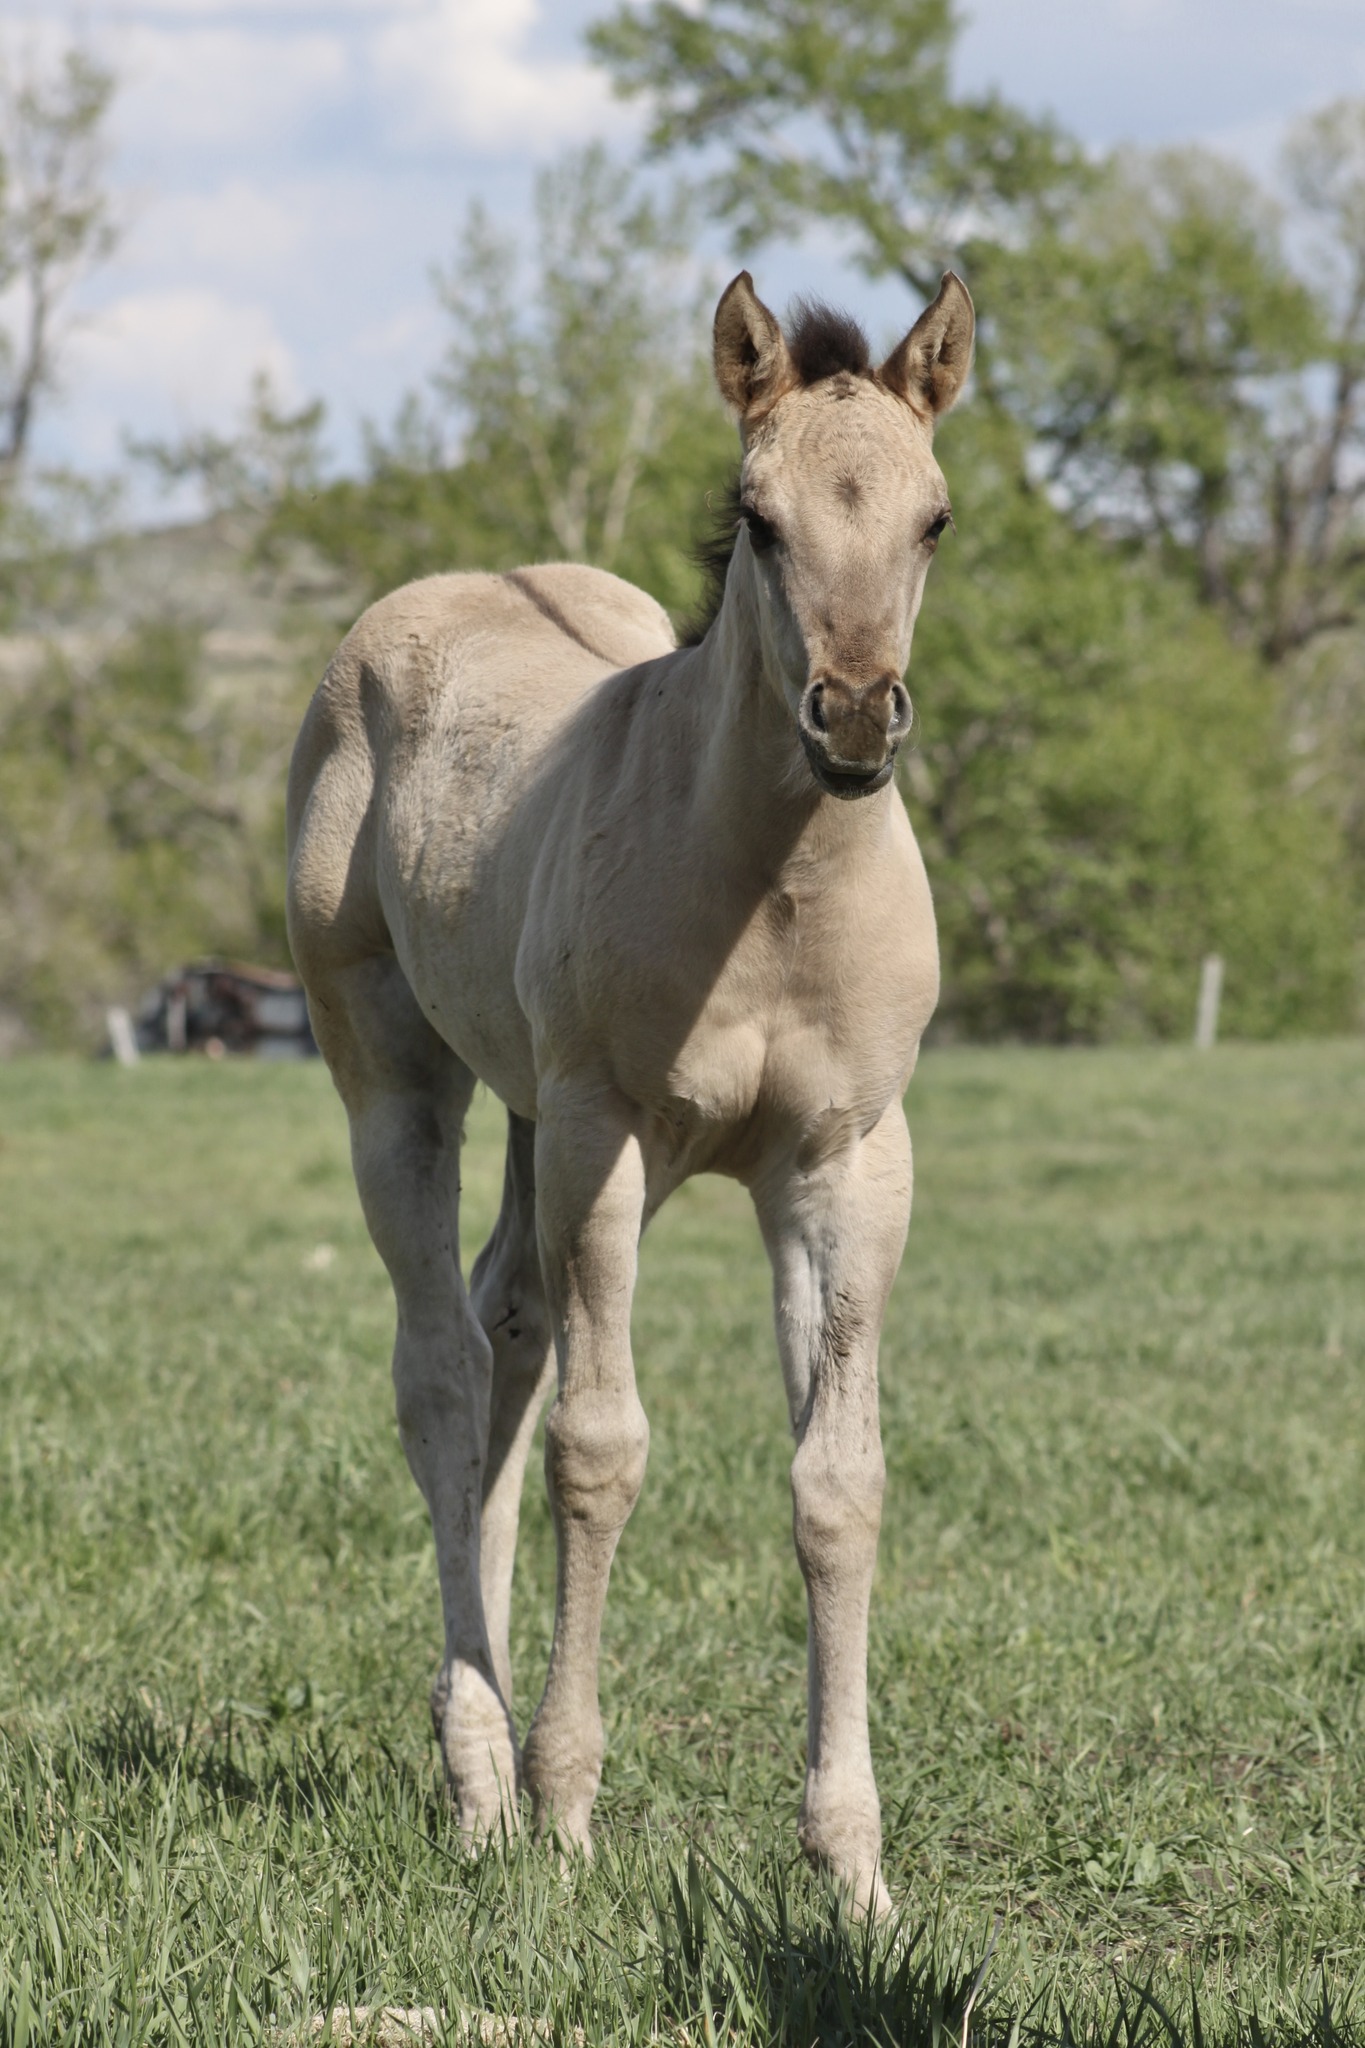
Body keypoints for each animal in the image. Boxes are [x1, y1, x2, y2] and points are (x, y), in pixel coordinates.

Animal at [285, 268, 974, 1917]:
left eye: (933, 518)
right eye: (760, 516)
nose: (856, 720)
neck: (769, 892)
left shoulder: (849, 1161)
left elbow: (837, 1480)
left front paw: (852, 1866)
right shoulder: (607, 1135)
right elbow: (602, 1454)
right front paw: (565, 1812)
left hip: (537, 1114)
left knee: (506, 1330)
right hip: (400, 1078)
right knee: (440, 1370)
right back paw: (479, 1773)